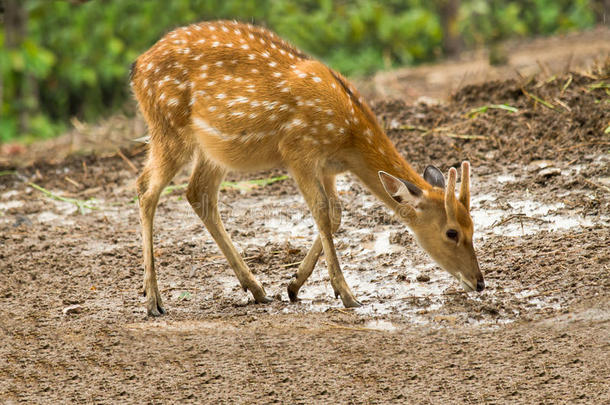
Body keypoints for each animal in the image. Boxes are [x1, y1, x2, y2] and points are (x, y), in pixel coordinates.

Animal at [131, 19, 482, 316]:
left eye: (473, 226)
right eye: (451, 232)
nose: (479, 282)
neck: (347, 138)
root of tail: (137, 68)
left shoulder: (328, 167)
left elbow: (335, 215)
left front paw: (293, 285)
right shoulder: (298, 151)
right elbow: (322, 213)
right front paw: (347, 294)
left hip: (213, 149)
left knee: (198, 193)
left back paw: (256, 288)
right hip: (169, 129)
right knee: (146, 188)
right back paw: (153, 300)